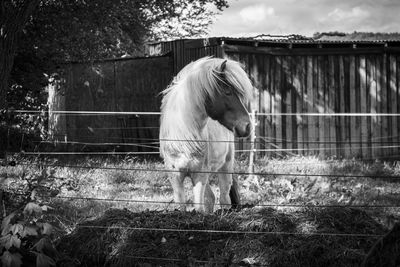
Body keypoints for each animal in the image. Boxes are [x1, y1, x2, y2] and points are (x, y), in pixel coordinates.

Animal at [159, 56, 253, 214]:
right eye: (227, 92)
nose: (247, 126)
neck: (183, 138)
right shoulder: (175, 177)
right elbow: (182, 206)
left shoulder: (199, 175)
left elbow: (199, 207)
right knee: (212, 198)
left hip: (226, 166)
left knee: (224, 198)